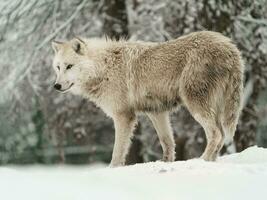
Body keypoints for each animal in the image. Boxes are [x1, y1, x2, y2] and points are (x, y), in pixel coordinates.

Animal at [51, 30, 244, 166]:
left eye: (69, 66)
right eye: (58, 67)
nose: (56, 86)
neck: (103, 67)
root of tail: (230, 47)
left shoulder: (124, 116)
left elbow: (117, 151)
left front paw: (112, 169)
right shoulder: (156, 112)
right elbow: (167, 142)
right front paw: (166, 162)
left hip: (196, 106)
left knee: (216, 134)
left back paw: (202, 160)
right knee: (220, 137)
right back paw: (211, 161)